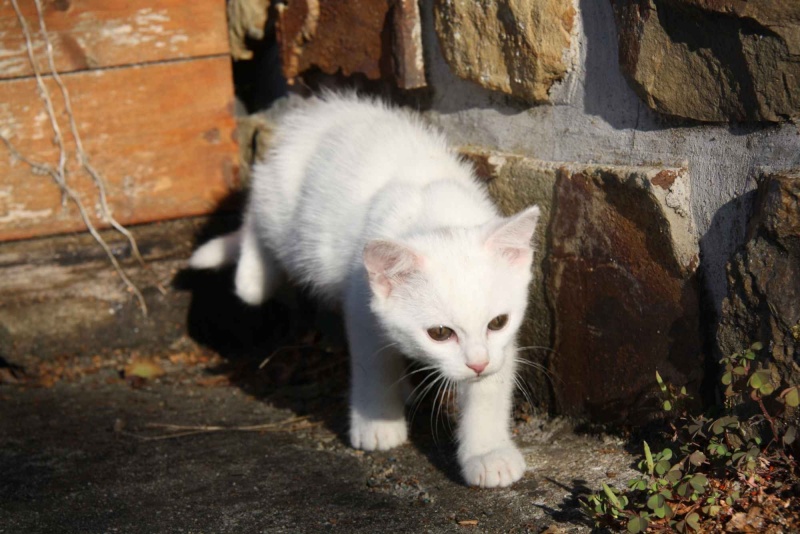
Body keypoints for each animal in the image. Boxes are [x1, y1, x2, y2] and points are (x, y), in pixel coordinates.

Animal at [189, 94, 536, 488]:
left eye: (497, 323)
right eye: (439, 333)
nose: (476, 364)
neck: (434, 214)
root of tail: (322, 111)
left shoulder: (501, 345)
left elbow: (490, 388)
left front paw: (488, 453)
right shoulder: (361, 302)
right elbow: (373, 363)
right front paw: (377, 423)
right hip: (285, 217)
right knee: (256, 214)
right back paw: (252, 273)